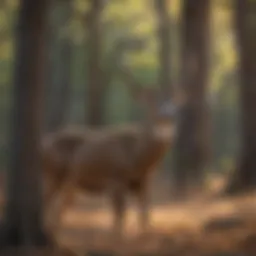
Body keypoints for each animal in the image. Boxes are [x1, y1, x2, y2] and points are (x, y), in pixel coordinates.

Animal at [42, 69, 180, 239]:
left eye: (173, 103)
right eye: (151, 105)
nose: (166, 116)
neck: (137, 158)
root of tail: (43, 144)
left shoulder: (144, 181)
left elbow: (144, 212)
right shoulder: (116, 178)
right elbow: (120, 214)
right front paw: (118, 236)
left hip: (70, 182)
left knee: (60, 207)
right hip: (53, 174)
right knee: (46, 201)